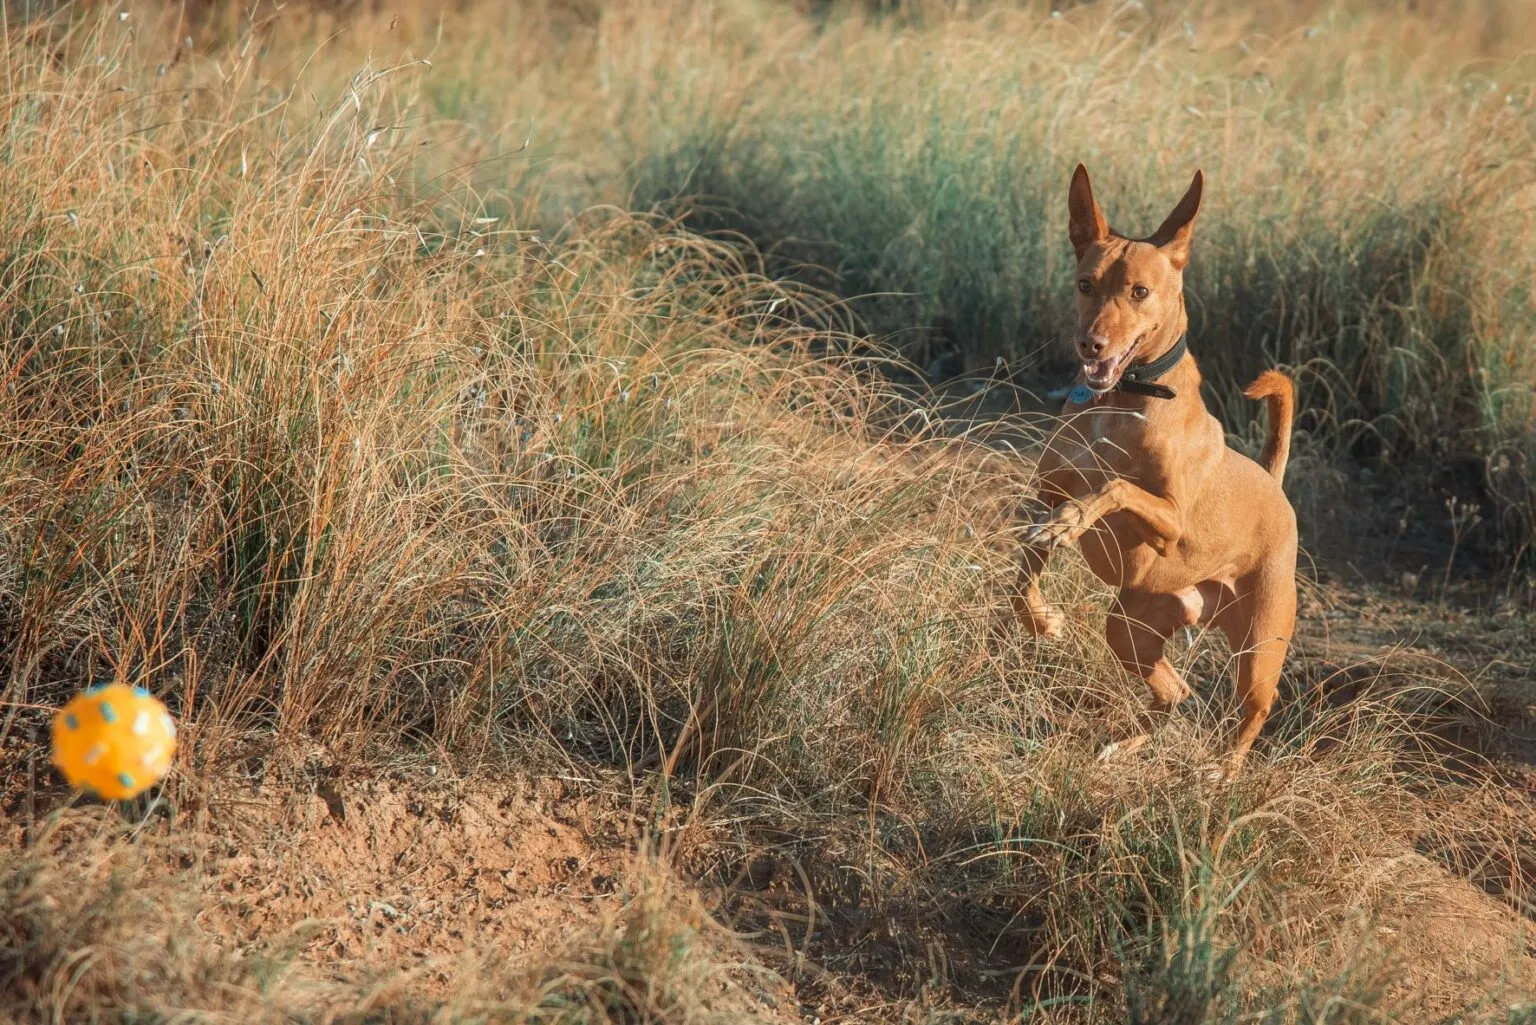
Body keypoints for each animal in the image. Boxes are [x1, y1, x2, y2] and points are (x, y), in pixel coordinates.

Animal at [1007, 162, 1296, 777]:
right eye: (1085, 284)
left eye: (1139, 292)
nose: (1090, 345)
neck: (1122, 399)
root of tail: (1274, 484)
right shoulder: (1043, 492)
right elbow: (1023, 572)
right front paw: (1041, 618)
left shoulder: (1170, 523)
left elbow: (1114, 487)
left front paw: (1076, 521)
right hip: (1130, 629)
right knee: (1175, 693)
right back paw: (1123, 743)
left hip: (1258, 650)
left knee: (1258, 706)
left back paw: (1223, 771)